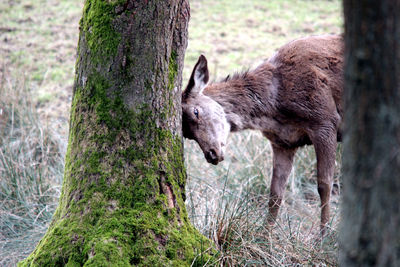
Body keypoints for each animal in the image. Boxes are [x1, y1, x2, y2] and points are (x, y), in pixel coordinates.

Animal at [183, 35, 342, 234]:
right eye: (187, 135)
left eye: (196, 112)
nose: (211, 154)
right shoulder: (283, 142)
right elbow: (275, 192)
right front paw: (265, 236)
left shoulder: (326, 120)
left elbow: (324, 185)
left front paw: (323, 236)